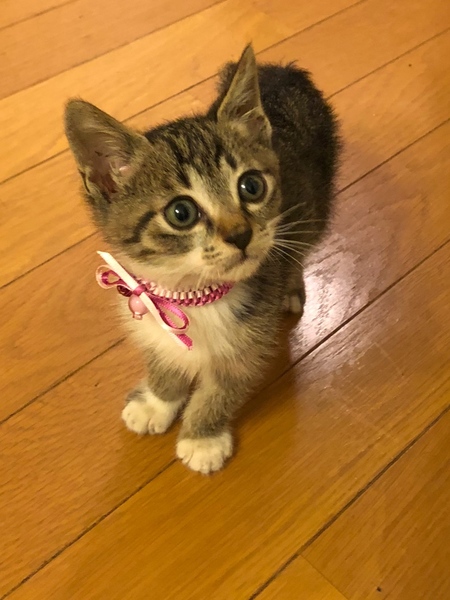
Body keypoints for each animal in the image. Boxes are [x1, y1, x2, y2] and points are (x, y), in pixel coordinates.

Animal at [64, 44, 339, 474]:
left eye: (252, 186)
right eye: (181, 213)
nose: (241, 235)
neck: (192, 294)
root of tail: (283, 71)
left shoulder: (249, 344)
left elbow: (222, 390)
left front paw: (202, 436)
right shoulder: (149, 314)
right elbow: (164, 360)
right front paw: (157, 400)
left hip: (315, 206)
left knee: (299, 248)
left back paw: (292, 288)